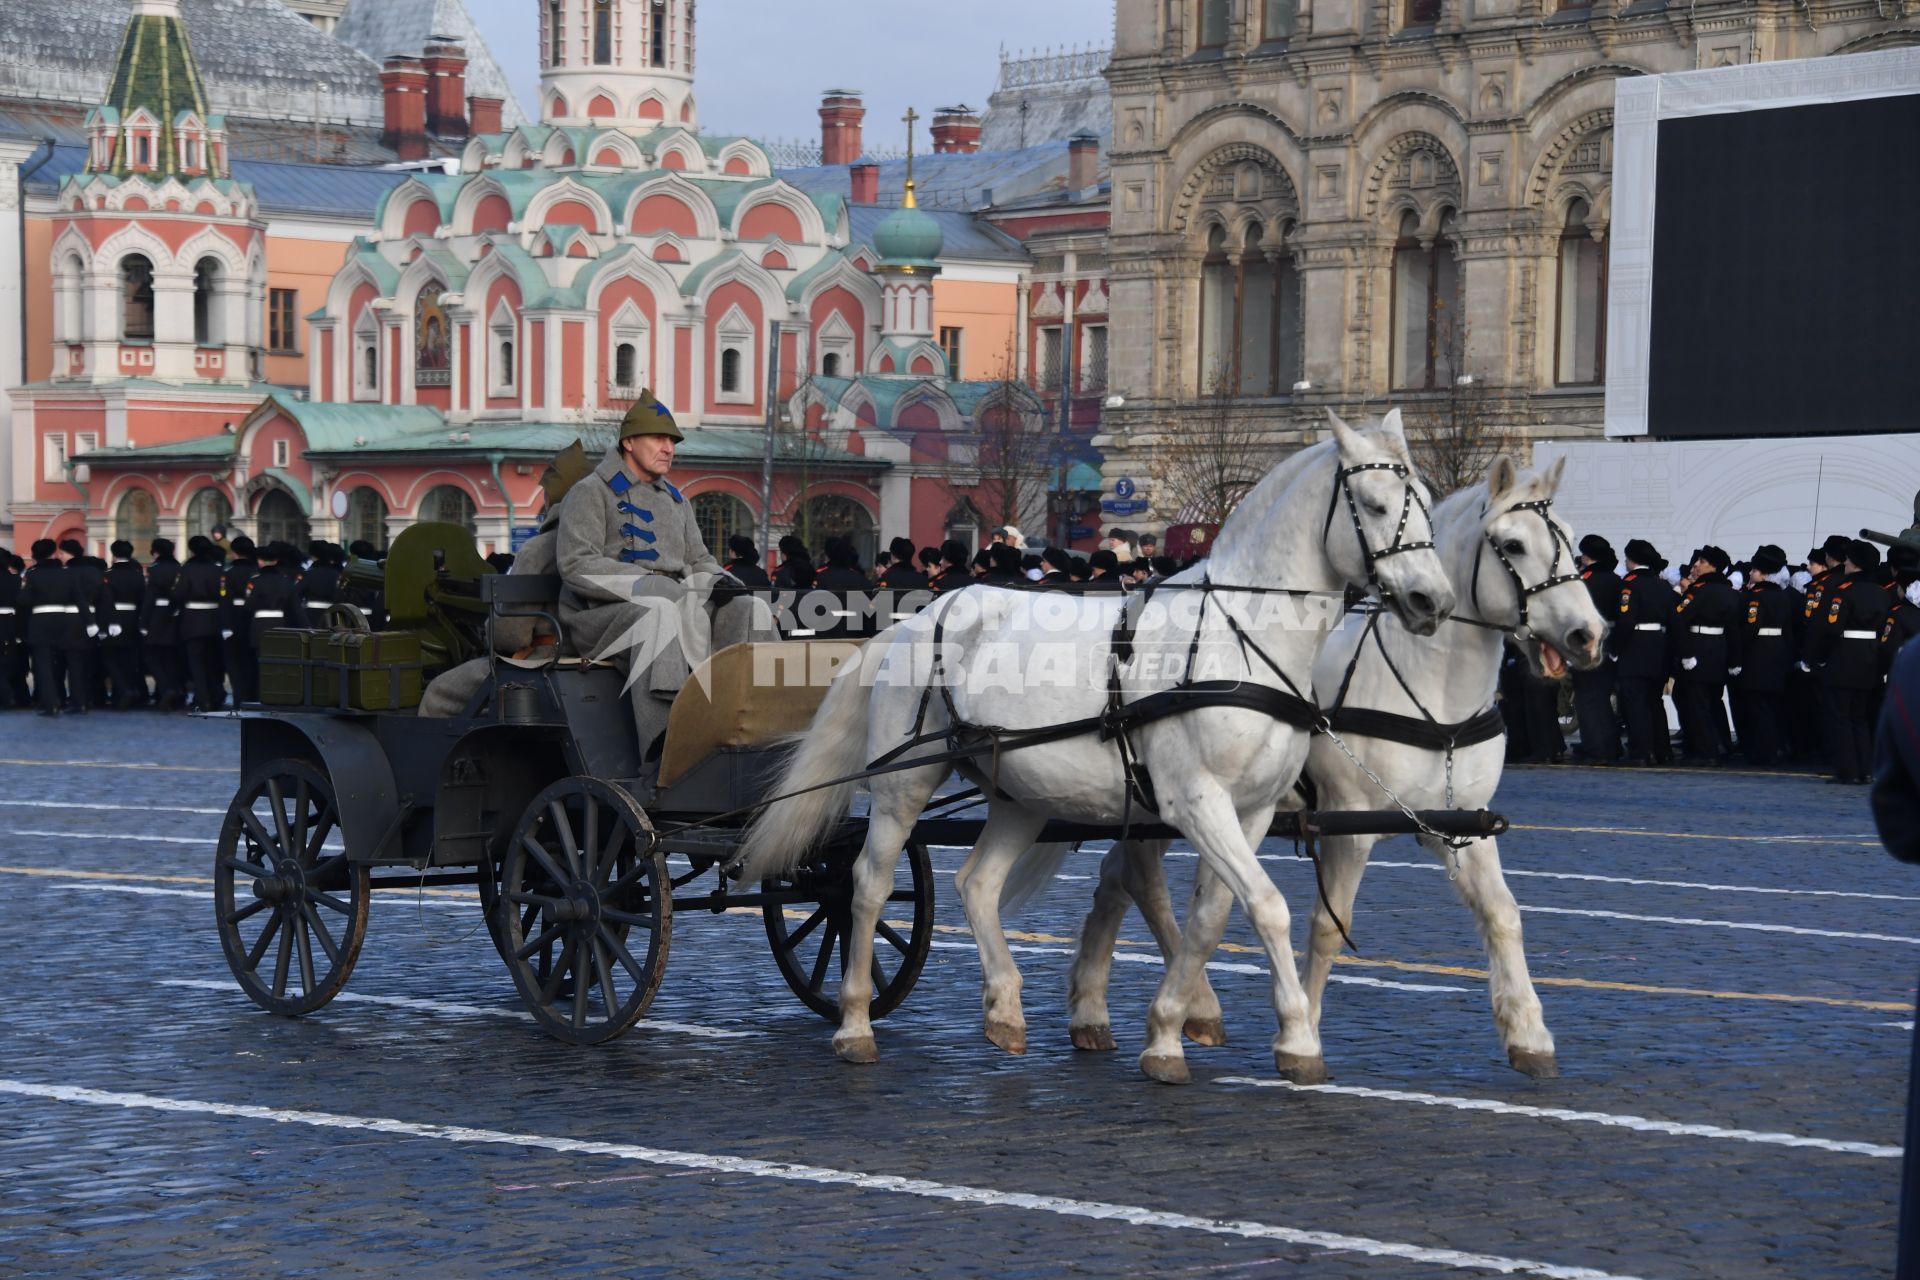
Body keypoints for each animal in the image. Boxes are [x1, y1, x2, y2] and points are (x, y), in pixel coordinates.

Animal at [737, 410, 1451, 1082]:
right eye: (1378, 504)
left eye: (1426, 499)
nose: (1433, 601)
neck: (1240, 635)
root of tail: (912, 622)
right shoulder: (1197, 804)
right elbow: (1267, 907)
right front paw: (1292, 1037)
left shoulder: (1248, 813)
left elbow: (1214, 916)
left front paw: (1176, 1028)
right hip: (901, 786)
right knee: (868, 886)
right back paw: (855, 1021)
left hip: (1021, 797)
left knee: (977, 883)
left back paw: (1006, 1008)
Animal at [1052, 460, 1605, 1082]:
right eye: (1513, 545)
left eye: (1569, 539)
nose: (1589, 635)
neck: (1432, 692)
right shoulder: (1351, 825)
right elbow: (1326, 926)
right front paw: (1304, 1032)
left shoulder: (1462, 824)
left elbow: (1503, 915)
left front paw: (1529, 1033)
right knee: (1142, 880)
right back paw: (1184, 1005)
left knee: (1119, 878)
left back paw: (1098, 1007)